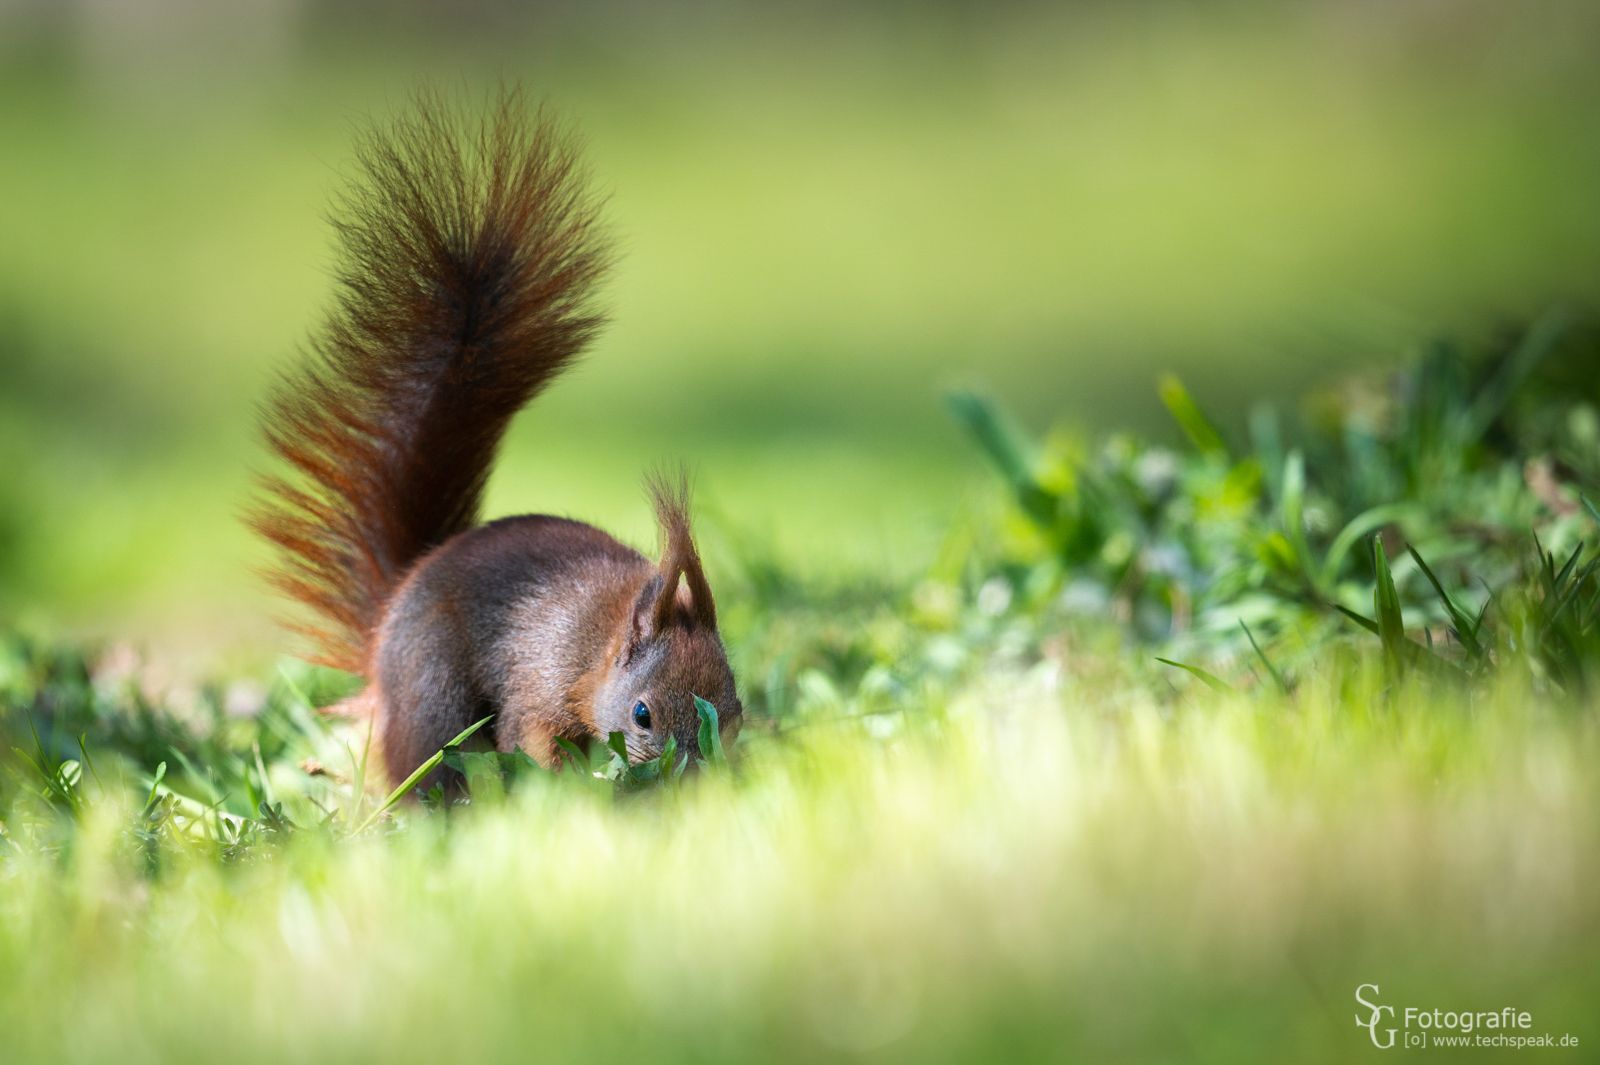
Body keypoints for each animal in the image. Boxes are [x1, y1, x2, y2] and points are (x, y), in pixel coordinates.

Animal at [249, 88, 742, 785]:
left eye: (736, 712)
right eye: (642, 715)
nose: (694, 781)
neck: (598, 643)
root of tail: (387, 619)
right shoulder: (538, 686)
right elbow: (529, 737)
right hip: (433, 695)